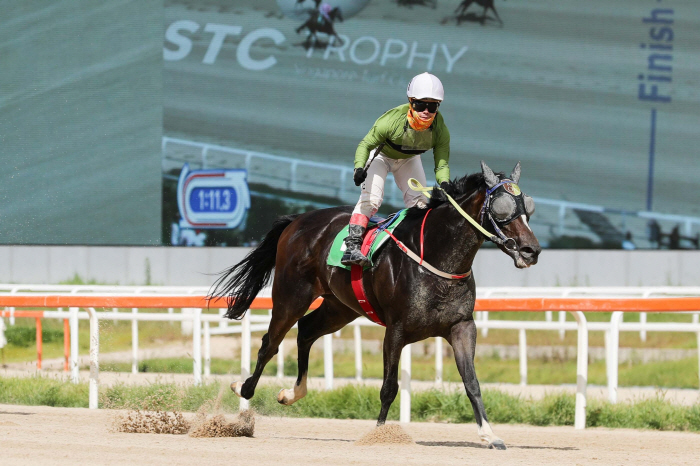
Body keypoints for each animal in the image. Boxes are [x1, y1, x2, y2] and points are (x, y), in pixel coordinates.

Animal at [212, 162, 540, 450]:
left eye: (529, 208)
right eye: (502, 208)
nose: (531, 250)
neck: (437, 256)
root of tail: (298, 220)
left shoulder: (461, 327)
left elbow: (472, 383)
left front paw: (490, 435)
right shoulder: (396, 329)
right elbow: (389, 387)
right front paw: (379, 435)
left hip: (340, 307)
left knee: (306, 331)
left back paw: (291, 393)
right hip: (290, 296)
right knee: (270, 343)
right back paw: (242, 390)